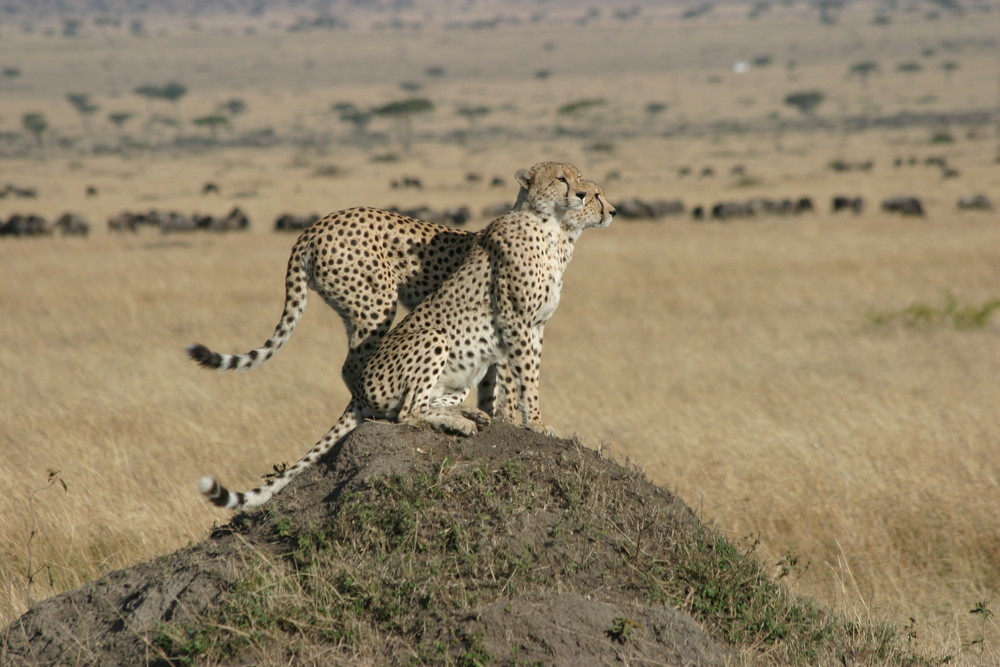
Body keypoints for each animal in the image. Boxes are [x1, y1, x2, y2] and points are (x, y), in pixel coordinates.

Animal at [201, 168, 608, 512]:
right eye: (568, 181)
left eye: (593, 190)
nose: (610, 209)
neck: (555, 233)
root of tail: (314, 227)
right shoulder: (514, 322)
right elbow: (519, 377)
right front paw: (526, 420)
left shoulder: (521, 329)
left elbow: (503, 378)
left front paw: (499, 414)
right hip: (390, 312)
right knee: (387, 395)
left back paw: (462, 414)